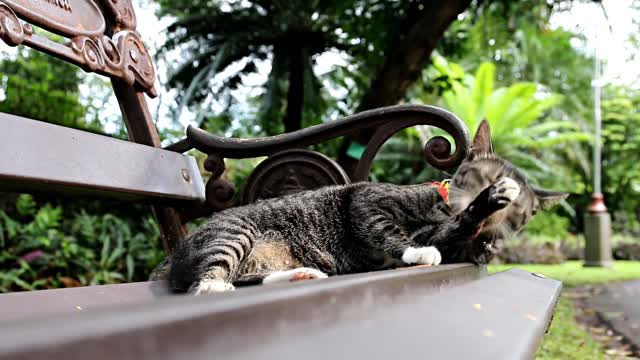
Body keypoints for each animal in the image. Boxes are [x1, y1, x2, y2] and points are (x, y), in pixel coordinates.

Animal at [154, 119, 564, 294]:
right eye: (484, 175)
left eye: (525, 214)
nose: (500, 225)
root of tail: (173, 257)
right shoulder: (365, 200)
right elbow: (386, 229)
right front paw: (416, 251)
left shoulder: (452, 237)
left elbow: (454, 232)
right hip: (234, 234)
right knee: (204, 282)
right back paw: (216, 287)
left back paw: (300, 275)